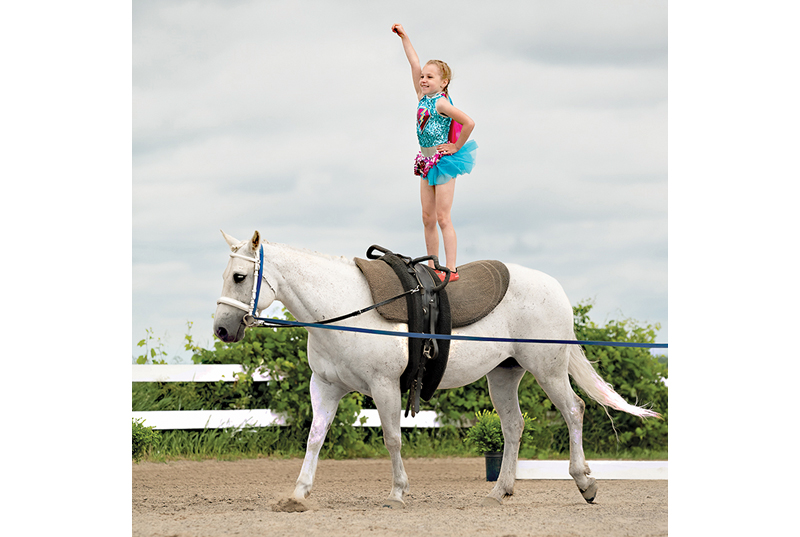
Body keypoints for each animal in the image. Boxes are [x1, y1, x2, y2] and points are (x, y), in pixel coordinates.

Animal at [214, 229, 664, 506]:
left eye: (239, 276)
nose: (222, 329)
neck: (345, 308)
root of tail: (553, 287)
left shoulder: (384, 386)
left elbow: (393, 439)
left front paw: (397, 493)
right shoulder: (325, 387)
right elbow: (314, 439)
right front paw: (297, 494)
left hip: (548, 369)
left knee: (573, 411)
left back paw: (585, 482)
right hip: (504, 375)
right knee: (513, 427)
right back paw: (500, 491)